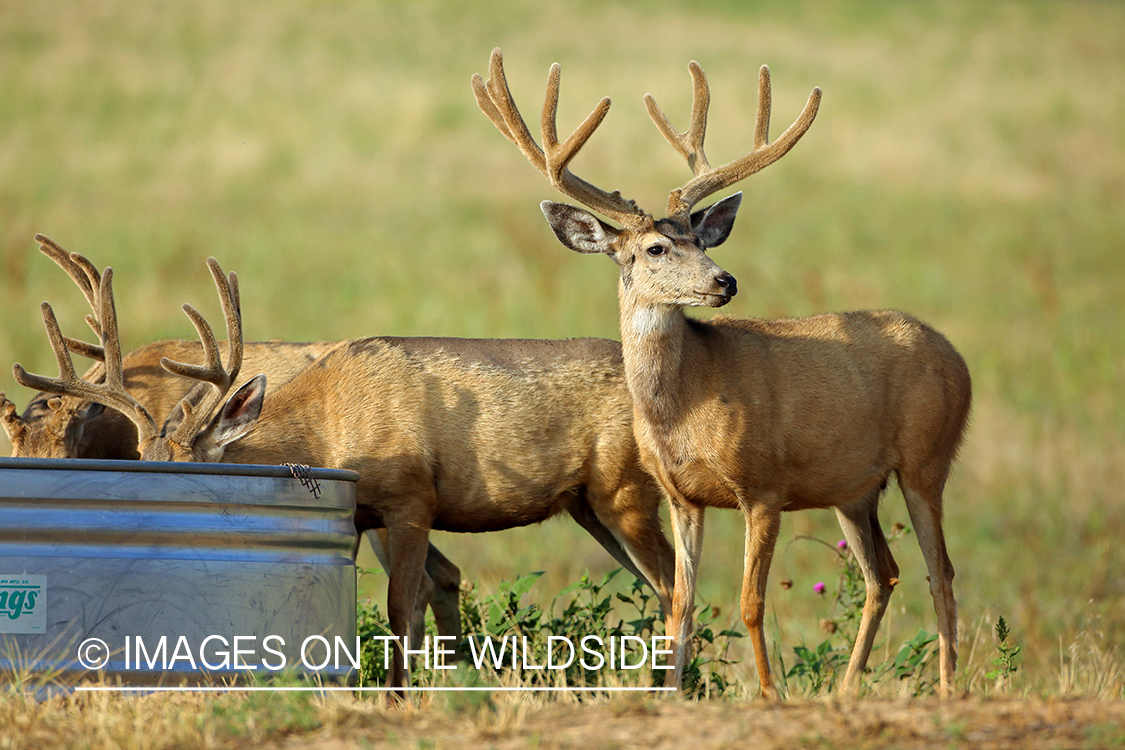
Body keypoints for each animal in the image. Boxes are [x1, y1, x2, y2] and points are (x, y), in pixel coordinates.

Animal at [14, 245, 678, 692]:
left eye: (194, 475)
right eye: (141, 464)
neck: (328, 424)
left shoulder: (411, 499)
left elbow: (398, 609)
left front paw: (397, 699)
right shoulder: (354, 517)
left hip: (624, 492)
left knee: (675, 582)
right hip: (590, 506)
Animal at [473, 47, 972, 698]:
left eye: (701, 239)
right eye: (657, 248)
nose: (725, 280)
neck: (685, 407)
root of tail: (957, 357)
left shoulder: (763, 484)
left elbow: (750, 603)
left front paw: (768, 693)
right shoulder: (681, 495)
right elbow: (680, 604)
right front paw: (669, 692)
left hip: (926, 458)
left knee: (942, 573)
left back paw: (948, 688)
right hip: (854, 485)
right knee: (882, 573)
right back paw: (846, 688)